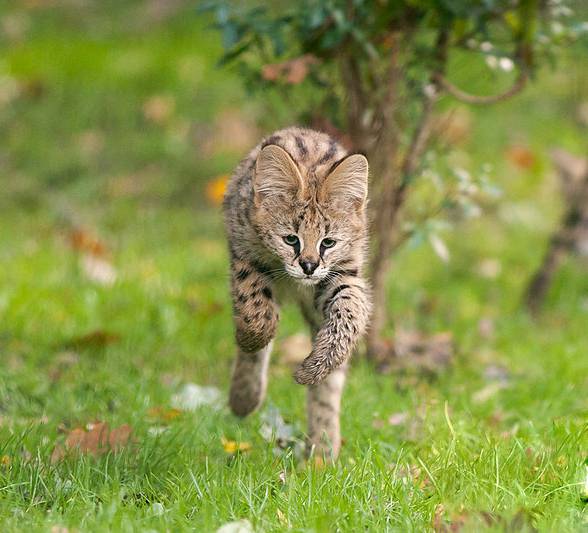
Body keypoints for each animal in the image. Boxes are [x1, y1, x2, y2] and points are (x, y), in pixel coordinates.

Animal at [223, 125, 370, 458]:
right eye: (291, 239)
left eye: (328, 242)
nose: (309, 266)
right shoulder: (244, 253)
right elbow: (255, 314)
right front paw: (250, 341)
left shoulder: (344, 274)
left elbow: (350, 314)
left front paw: (312, 369)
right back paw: (244, 396)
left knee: (329, 389)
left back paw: (323, 452)